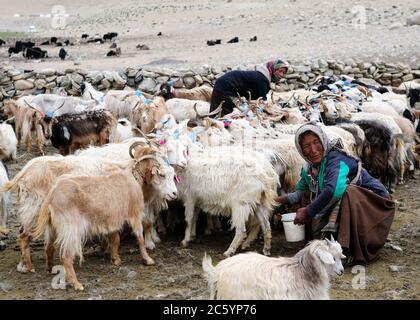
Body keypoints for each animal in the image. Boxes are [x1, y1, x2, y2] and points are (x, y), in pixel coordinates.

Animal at [33, 146, 177, 292]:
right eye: (161, 174)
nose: (174, 194)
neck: (132, 177)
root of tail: (51, 195)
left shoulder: (112, 220)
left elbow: (115, 239)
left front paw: (115, 259)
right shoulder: (135, 214)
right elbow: (140, 238)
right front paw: (147, 259)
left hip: (52, 227)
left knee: (48, 247)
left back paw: (50, 269)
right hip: (70, 228)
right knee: (66, 256)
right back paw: (76, 284)